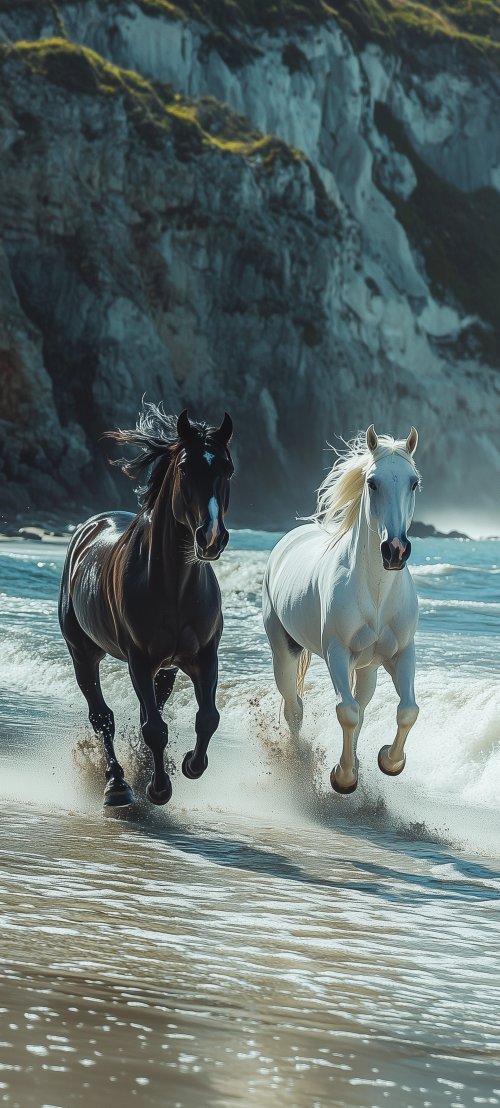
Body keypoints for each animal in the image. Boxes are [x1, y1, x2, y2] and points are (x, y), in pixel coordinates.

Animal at [59, 404, 234, 808]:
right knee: (102, 718)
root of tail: (89, 526)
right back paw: (117, 785)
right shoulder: (138, 658)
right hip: (82, 653)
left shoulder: (203, 656)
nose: (211, 538)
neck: (175, 588)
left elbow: (207, 718)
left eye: (228, 468)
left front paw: (190, 765)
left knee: (150, 707)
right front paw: (158, 789)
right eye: (185, 468)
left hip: (165, 669)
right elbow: (153, 728)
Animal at [262, 424, 420, 793]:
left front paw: (389, 762)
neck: (376, 593)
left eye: (414, 482)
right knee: (294, 707)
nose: (395, 550)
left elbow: (406, 710)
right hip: (284, 650)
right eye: (372, 482)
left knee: (361, 706)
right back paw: (299, 764)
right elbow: (346, 711)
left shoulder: (402, 653)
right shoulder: (337, 652)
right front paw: (343, 778)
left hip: (368, 668)